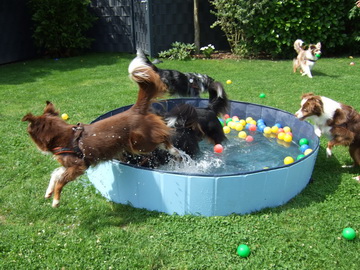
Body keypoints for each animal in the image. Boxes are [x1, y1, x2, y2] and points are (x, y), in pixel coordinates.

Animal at [21, 55, 180, 207]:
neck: (63, 136)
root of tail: (134, 110)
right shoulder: (69, 165)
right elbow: (55, 173)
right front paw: (48, 192)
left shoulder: (79, 166)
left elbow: (61, 180)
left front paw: (55, 200)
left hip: (139, 143)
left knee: (164, 137)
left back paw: (175, 150)